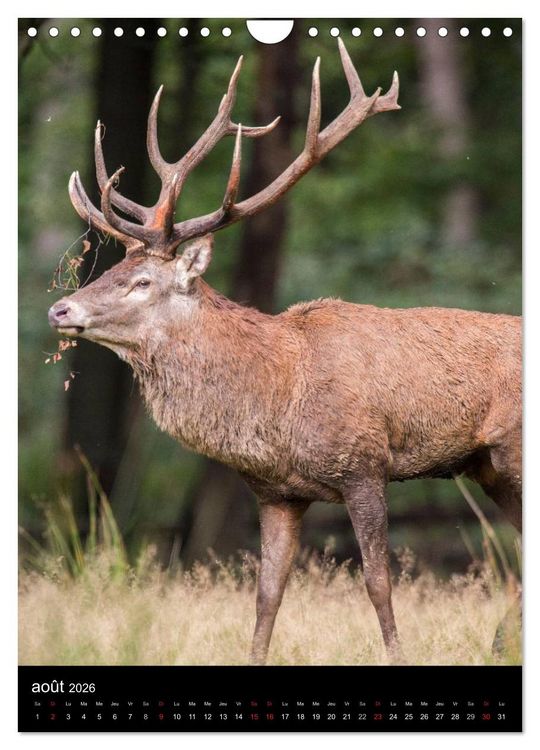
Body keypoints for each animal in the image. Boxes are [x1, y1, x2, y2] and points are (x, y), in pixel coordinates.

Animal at [48, 39, 521, 665]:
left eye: (142, 281)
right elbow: (267, 594)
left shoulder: (365, 464)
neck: (280, 403)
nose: (60, 310)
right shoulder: (276, 494)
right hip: (490, 468)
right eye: (112, 269)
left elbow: (378, 582)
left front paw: (397, 654)